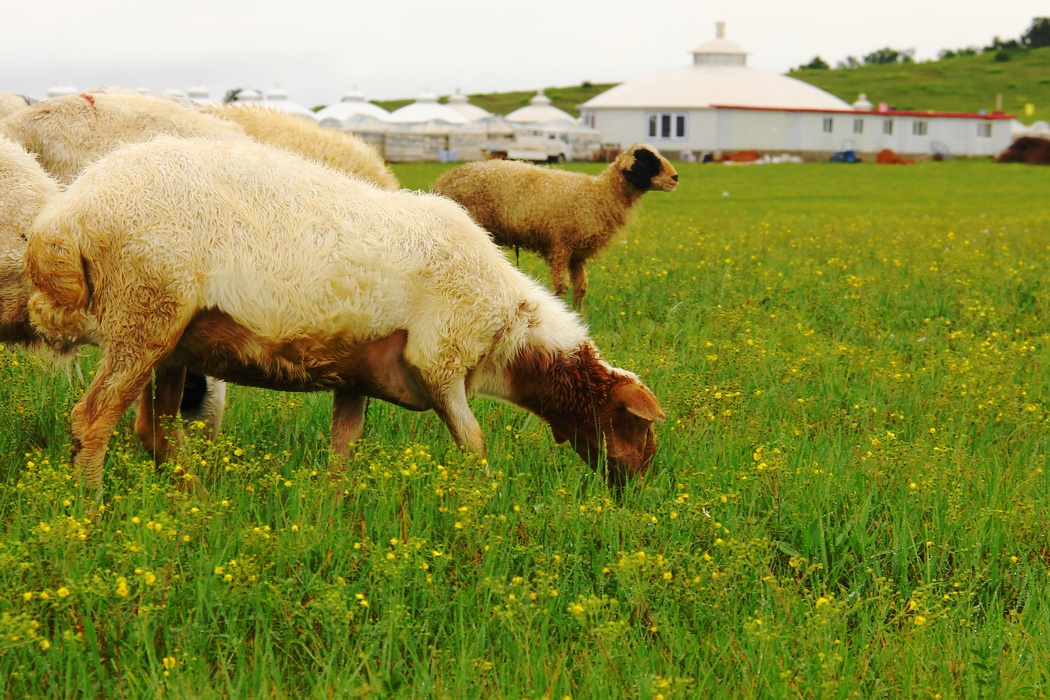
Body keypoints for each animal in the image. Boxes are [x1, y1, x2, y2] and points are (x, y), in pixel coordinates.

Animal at [430, 143, 676, 308]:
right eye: (648, 160)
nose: (676, 178)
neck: (598, 196)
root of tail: (442, 181)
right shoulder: (560, 246)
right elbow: (561, 287)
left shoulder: (577, 255)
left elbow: (581, 287)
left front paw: (580, 315)